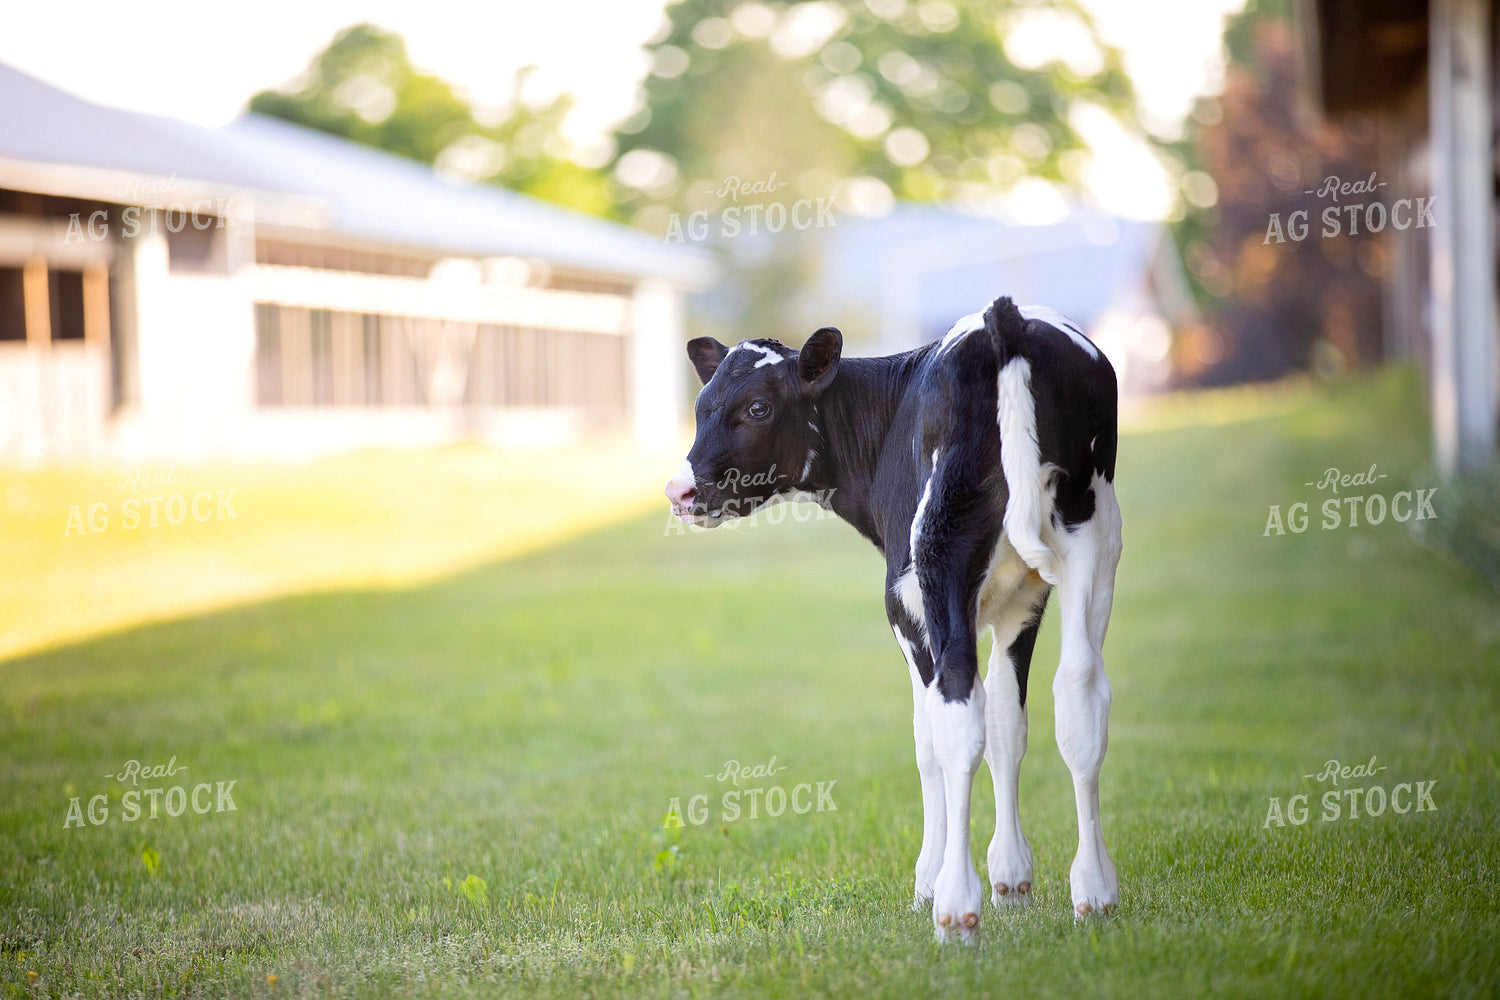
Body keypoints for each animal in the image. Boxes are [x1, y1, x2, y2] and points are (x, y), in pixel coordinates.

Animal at [663, 296, 1122, 942]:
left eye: (757, 407)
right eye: (702, 406)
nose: (678, 492)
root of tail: (1002, 316)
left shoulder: (905, 610)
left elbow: (930, 738)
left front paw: (931, 878)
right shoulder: (1022, 601)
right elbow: (1009, 725)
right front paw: (1012, 877)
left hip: (940, 549)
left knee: (958, 707)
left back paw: (955, 907)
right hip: (1094, 536)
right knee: (1081, 692)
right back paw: (1096, 891)